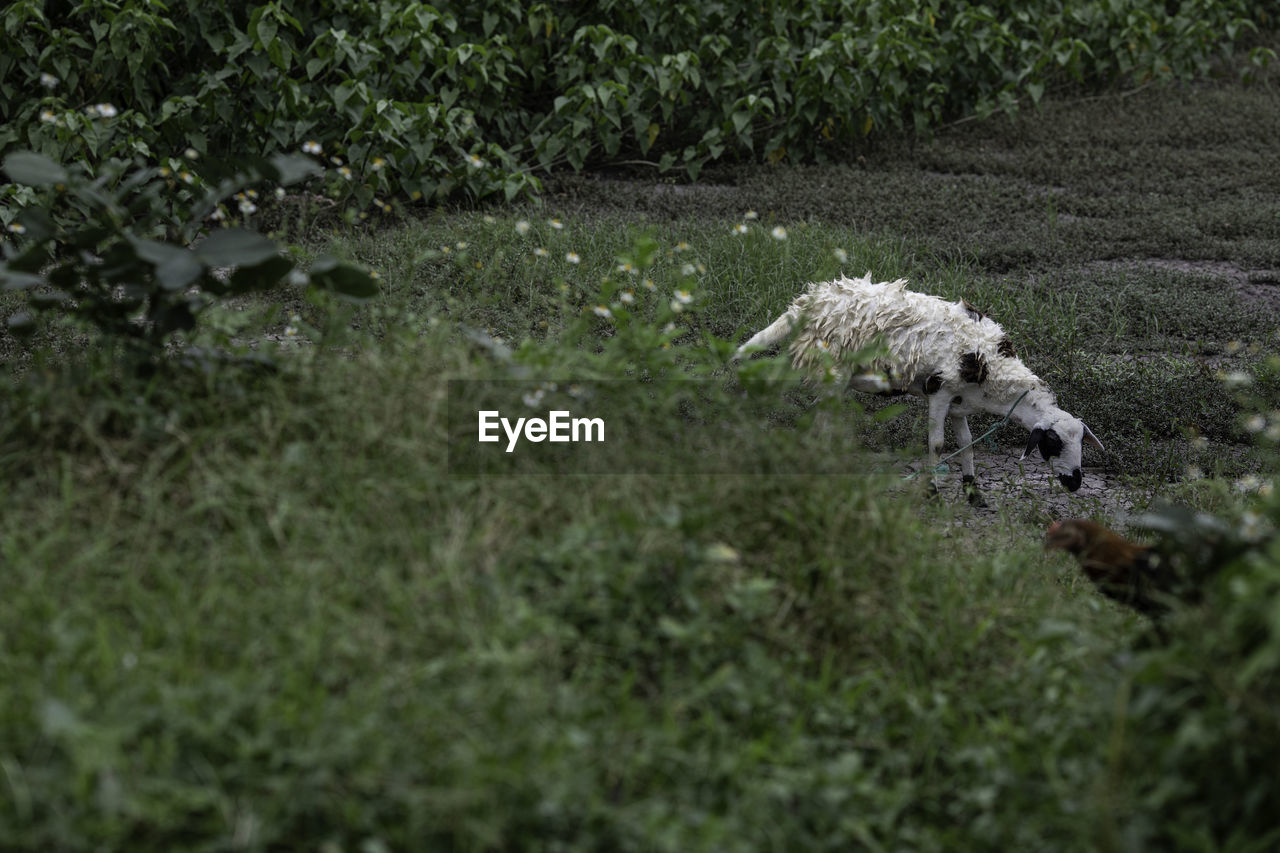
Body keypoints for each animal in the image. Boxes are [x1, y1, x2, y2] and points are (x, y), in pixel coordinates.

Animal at [737, 272, 1105, 499]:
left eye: (1081, 441)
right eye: (1053, 443)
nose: (1076, 483)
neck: (994, 371)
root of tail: (809, 302)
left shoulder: (960, 403)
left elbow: (967, 444)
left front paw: (973, 493)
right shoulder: (940, 391)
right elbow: (938, 445)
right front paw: (933, 492)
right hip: (833, 371)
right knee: (821, 424)